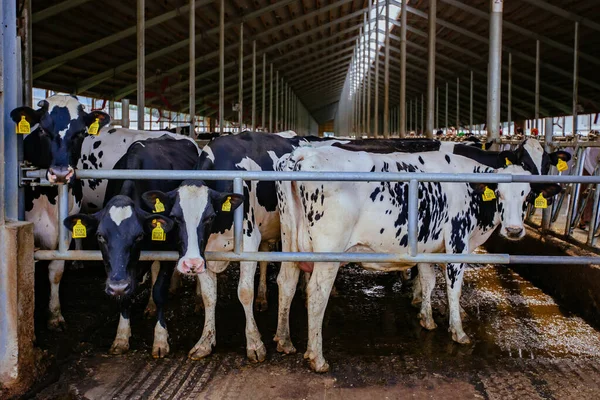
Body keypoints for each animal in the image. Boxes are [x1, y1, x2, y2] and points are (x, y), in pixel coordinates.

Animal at [63, 136, 199, 358]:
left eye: (139, 236)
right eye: (100, 236)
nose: (117, 286)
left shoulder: (167, 249)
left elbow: (160, 291)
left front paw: (160, 340)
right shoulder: (121, 272)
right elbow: (126, 297)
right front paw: (121, 336)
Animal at [274, 145, 560, 372]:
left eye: (528, 195)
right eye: (499, 193)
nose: (514, 230)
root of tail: (305, 152)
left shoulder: (427, 247)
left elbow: (428, 280)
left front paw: (427, 318)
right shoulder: (457, 241)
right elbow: (453, 289)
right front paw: (458, 331)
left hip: (289, 238)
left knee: (286, 282)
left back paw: (284, 341)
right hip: (328, 251)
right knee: (317, 294)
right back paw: (317, 357)